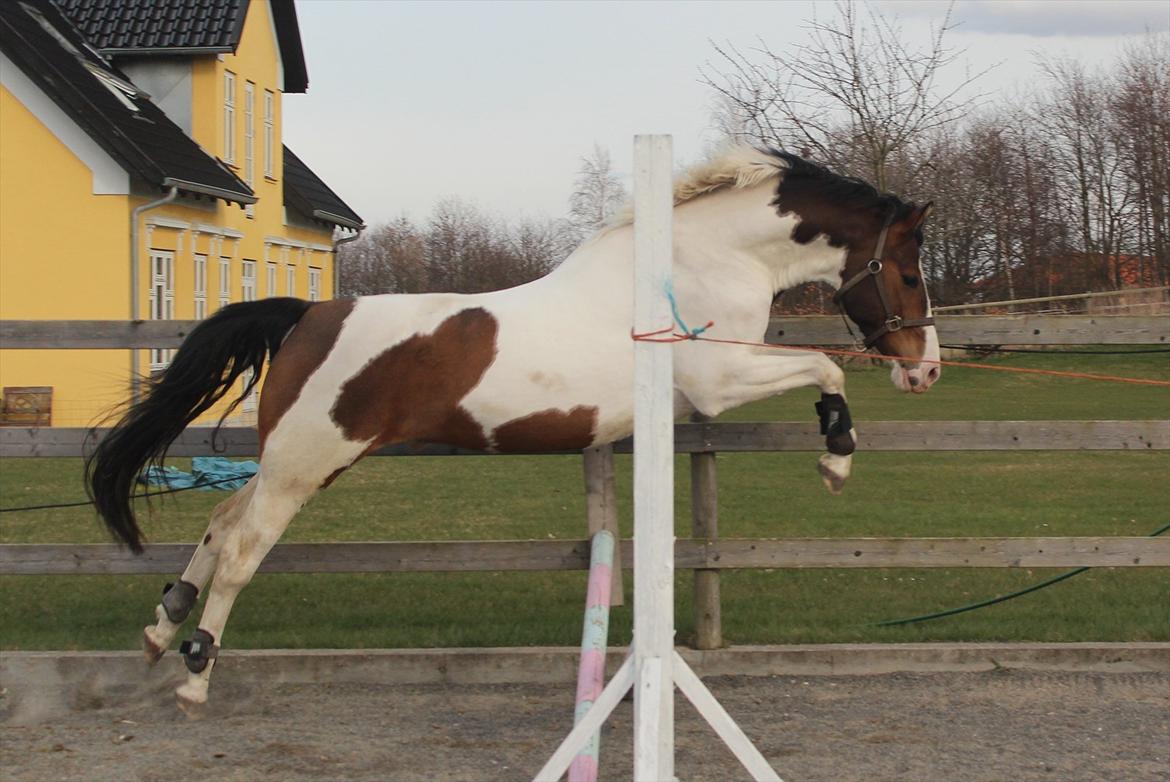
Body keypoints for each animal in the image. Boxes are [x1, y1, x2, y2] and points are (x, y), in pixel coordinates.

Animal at [84, 143, 940, 711]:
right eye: (908, 272)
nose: (924, 371)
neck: (696, 261)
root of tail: (305, 316)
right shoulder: (717, 382)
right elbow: (827, 371)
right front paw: (836, 459)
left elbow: (823, 371)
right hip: (305, 463)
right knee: (241, 550)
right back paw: (195, 676)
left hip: (290, 463)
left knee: (219, 523)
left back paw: (162, 632)